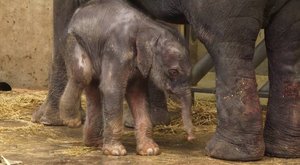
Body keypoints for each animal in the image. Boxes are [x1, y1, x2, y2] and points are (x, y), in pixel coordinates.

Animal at [60, 0, 195, 156]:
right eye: (173, 72)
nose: (190, 138)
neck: (148, 26)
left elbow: (137, 94)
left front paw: (150, 151)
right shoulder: (118, 50)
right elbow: (112, 89)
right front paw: (116, 152)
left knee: (93, 91)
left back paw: (94, 143)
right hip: (74, 40)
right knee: (83, 75)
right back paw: (71, 121)